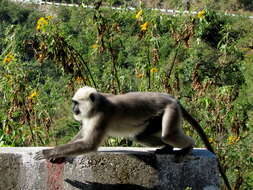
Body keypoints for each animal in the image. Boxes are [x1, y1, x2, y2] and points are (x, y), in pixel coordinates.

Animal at [35, 86, 231, 190]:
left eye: (76, 103)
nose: (73, 109)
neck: (98, 104)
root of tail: (171, 98)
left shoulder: (101, 116)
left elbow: (89, 143)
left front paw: (48, 152)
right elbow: (81, 136)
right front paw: (58, 155)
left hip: (171, 110)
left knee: (168, 134)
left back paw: (188, 147)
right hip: (157, 116)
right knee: (141, 135)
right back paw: (166, 148)